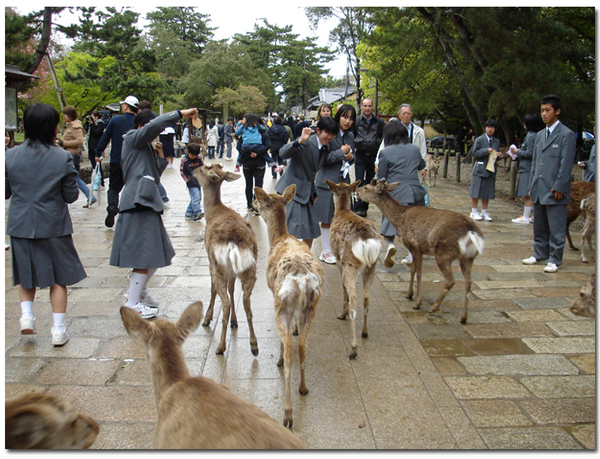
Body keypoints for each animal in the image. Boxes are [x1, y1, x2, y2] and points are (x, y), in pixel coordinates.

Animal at [192, 164, 258, 358]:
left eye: (202, 168)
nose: (193, 171)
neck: (213, 211)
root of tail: (232, 243)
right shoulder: (232, 271)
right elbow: (232, 288)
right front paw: (234, 322)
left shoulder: (210, 261)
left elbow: (213, 289)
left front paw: (207, 318)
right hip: (249, 269)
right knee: (246, 302)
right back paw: (254, 345)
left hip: (218, 266)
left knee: (226, 303)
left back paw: (220, 347)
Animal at [254, 185, 328, 430]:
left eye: (261, 201)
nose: (253, 204)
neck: (279, 238)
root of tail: (301, 279)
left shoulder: (272, 295)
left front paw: (277, 358)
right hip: (312, 305)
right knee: (303, 345)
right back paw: (303, 388)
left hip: (282, 303)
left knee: (289, 350)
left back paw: (287, 414)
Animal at [326, 180, 382, 360]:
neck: (342, 210)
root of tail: (366, 242)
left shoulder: (338, 260)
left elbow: (343, 288)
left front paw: (341, 313)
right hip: (372, 265)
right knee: (366, 297)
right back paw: (364, 332)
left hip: (350, 264)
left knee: (354, 300)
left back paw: (353, 348)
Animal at [354, 178, 486, 326]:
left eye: (366, 187)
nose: (356, 191)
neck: (401, 219)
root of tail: (471, 232)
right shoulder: (417, 249)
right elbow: (412, 270)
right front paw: (409, 294)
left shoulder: (415, 246)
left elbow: (419, 273)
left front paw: (417, 302)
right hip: (468, 257)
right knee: (469, 282)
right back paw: (463, 317)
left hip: (444, 252)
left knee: (451, 280)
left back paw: (434, 307)